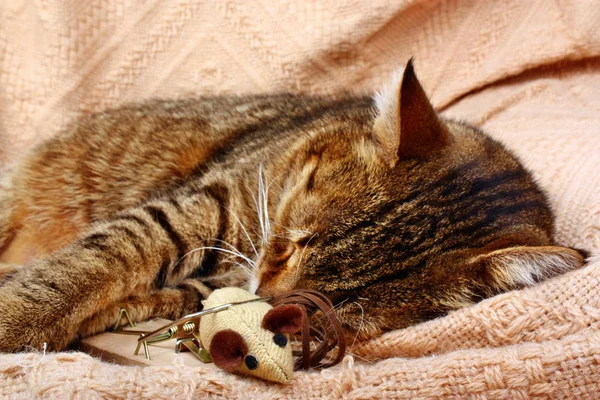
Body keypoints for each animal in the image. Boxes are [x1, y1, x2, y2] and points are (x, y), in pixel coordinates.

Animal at [0, 61, 584, 352]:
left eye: (327, 306)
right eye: (292, 243)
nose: (264, 292)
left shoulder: (206, 286)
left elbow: (154, 297)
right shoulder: (200, 203)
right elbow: (95, 264)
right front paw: (19, 319)